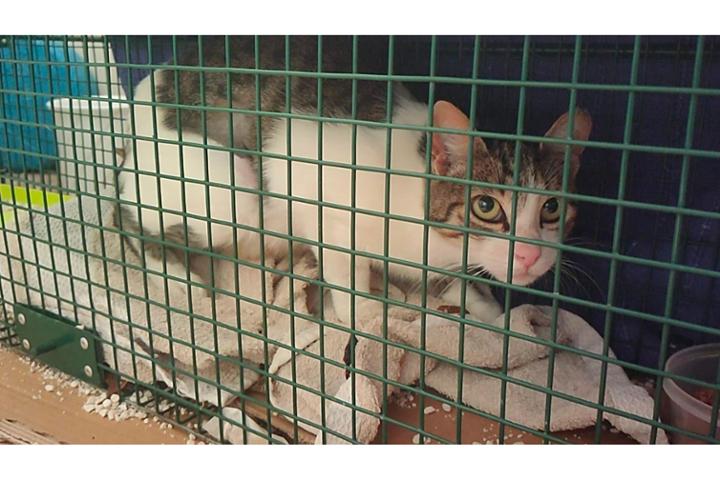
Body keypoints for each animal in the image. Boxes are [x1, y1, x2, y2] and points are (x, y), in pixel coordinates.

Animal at [117, 36, 592, 325]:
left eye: (552, 208)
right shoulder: (314, 182)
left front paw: (499, 321)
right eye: (487, 206)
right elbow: (348, 274)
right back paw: (179, 277)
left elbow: (461, 286)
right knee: (127, 217)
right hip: (228, 186)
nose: (531, 254)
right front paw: (366, 317)